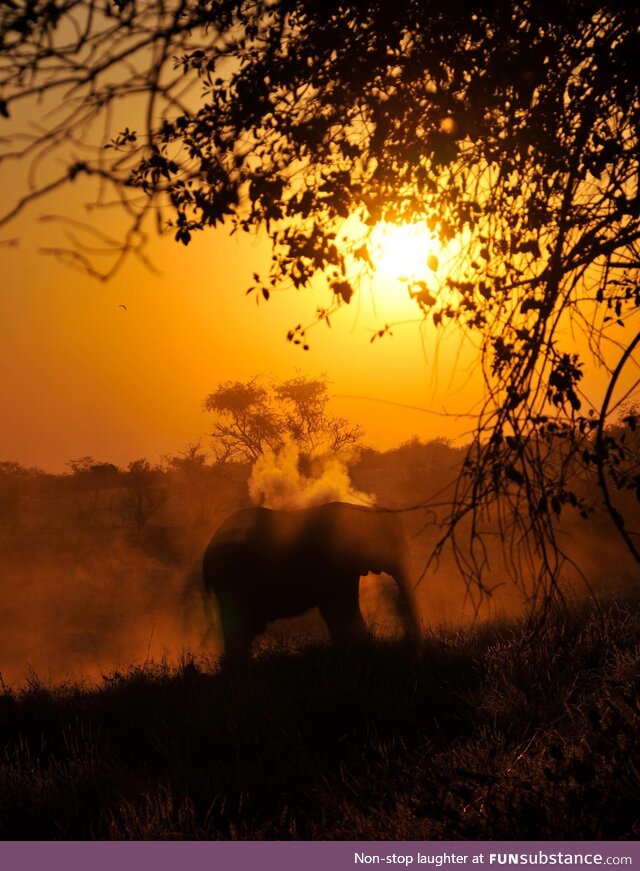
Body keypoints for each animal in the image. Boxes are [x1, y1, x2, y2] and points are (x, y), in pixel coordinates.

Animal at [201, 498, 420, 660]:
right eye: (390, 544)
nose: (411, 639)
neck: (361, 511)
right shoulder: (332, 563)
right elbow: (337, 608)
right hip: (231, 578)